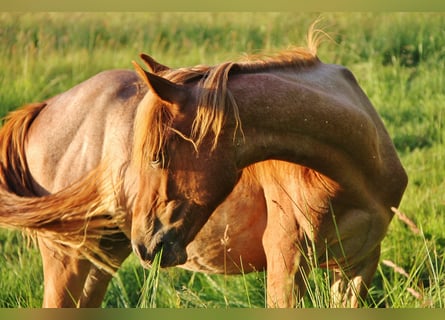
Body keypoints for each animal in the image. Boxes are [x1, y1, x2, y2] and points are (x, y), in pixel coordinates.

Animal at [0, 35, 406, 308]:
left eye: (156, 156)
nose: (146, 245)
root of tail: (44, 108)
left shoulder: (358, 267)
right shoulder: (287, 263)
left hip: (103, 255)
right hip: (67, 257)